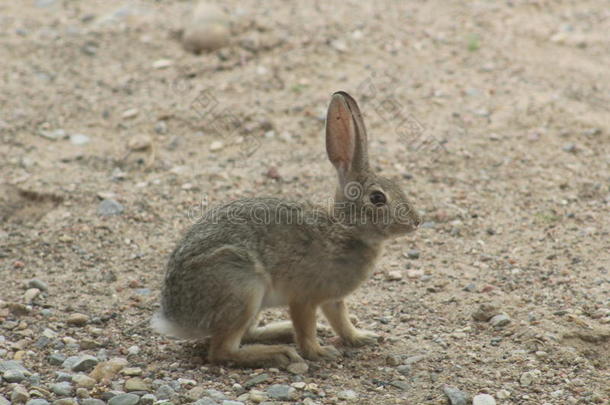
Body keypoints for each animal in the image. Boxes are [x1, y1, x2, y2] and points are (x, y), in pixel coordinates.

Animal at [151, 90, 418, 366]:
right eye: (377, 198)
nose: (416, 221)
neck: (346, 229)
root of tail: (175, 318)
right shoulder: (304, 297)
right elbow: (306, 327)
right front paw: (320, 353)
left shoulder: (333, 299)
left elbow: (341, 321)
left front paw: (362, 337)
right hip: (242, 287)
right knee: (222, 351)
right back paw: (279, 353)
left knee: (245, 335)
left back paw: (282, 332)